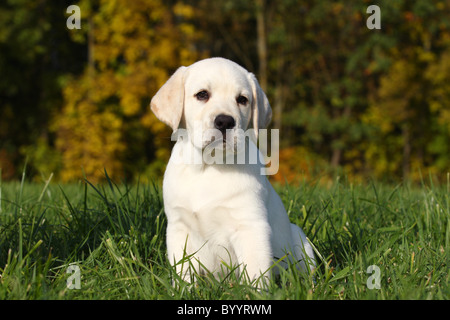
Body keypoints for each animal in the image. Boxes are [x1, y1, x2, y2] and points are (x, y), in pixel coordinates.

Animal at [149, 57, 314, 284]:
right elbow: (183, 272)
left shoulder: (251, 226)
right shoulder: (179, 227)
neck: (209, 167)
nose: (225, 121)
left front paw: (254, 292)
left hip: (301, 240)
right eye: (202, 94)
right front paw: (182, 289)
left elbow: (255, 273)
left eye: (242, 99)